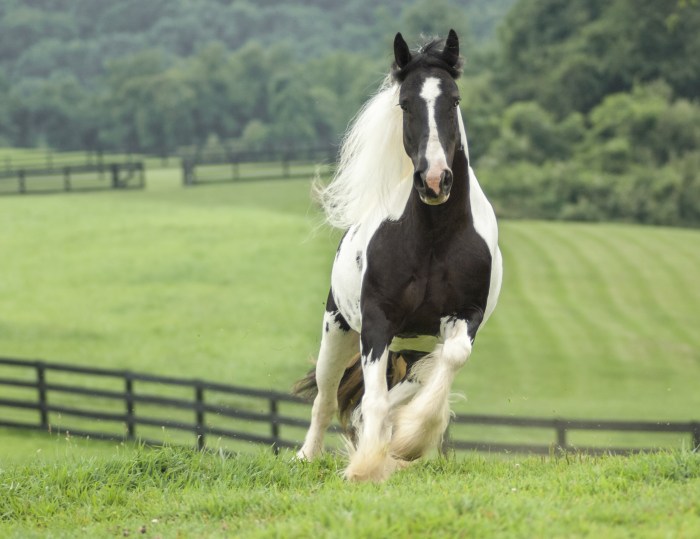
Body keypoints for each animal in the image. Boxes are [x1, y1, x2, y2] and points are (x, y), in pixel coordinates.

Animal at [294, 29, 504, 484]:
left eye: (454, 100)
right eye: (405, 103)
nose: (435, 180)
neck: (433, 238)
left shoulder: (465, 316)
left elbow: (443, 367)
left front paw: (406, 442)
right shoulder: (377, 321)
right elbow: (370, 400)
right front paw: (365, 467)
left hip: (414, 344)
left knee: (404, 384)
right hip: (337, 328)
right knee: (326, 396)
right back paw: (306, 456)